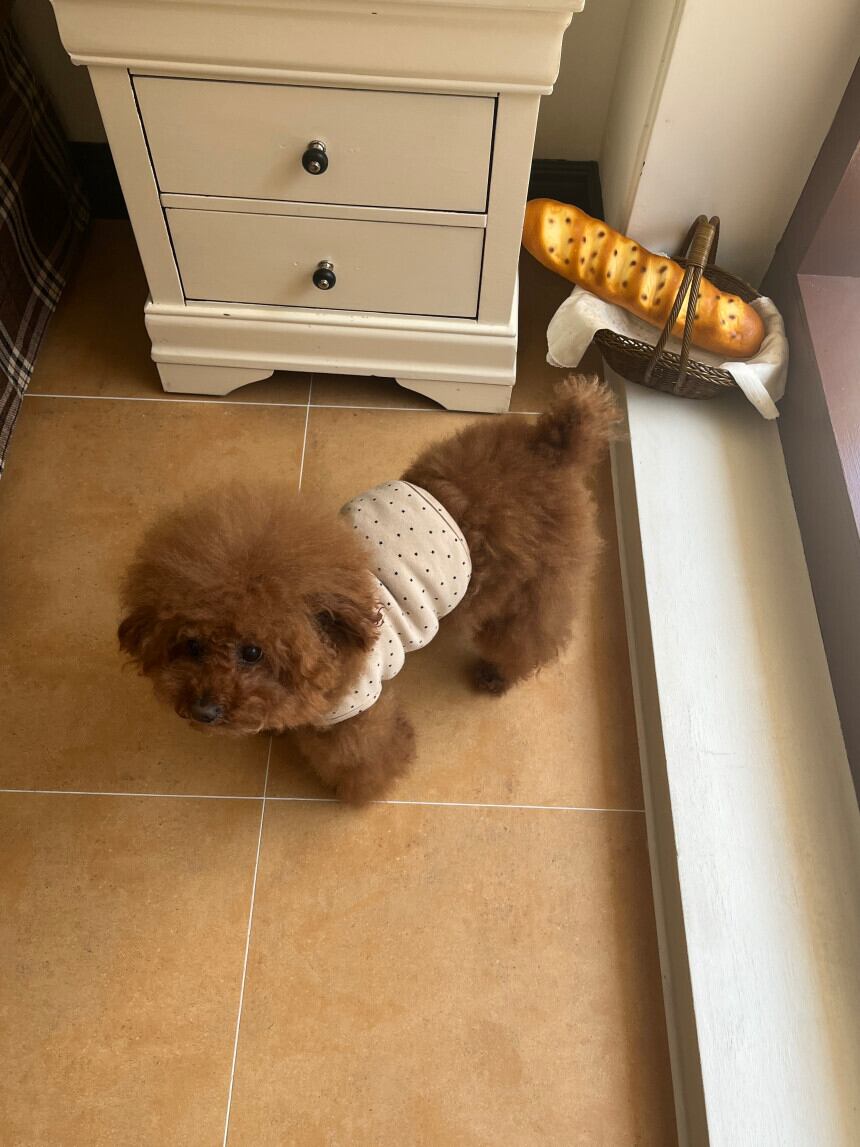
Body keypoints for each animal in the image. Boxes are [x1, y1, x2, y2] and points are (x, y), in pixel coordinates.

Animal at [118, 375, 621, 803]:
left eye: (253, 652)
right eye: (191, 644)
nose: (202, 711)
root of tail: (552, 444)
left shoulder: (356, 711)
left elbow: (364, 756)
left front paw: (363, 789)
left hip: (536, 589)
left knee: (531, 637)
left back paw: (498, 674)